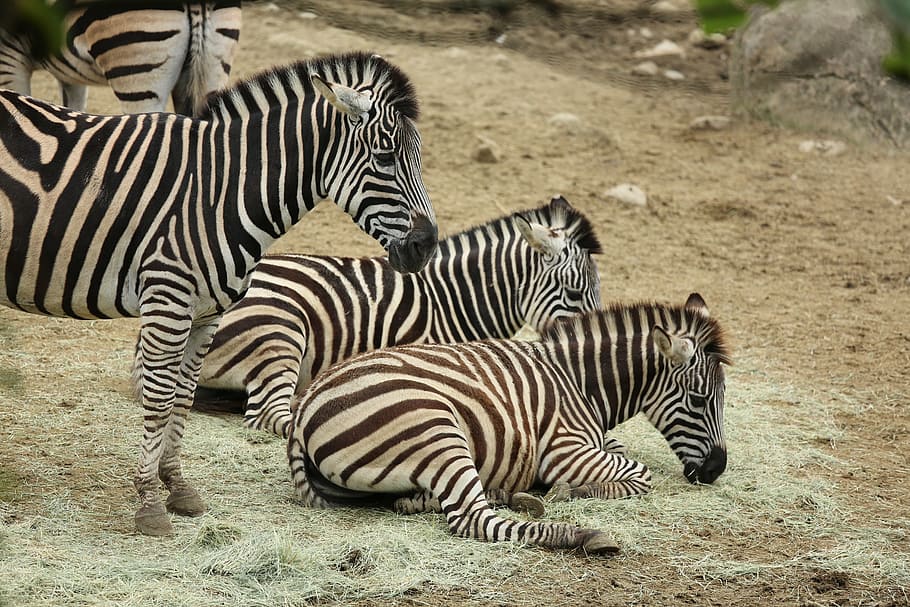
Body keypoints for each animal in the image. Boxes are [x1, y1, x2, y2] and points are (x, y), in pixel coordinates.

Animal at [0, 51, 439, 536]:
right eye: (384, 158)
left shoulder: (206, 314)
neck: (219, 191)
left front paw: (177, 487)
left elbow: (184, 396)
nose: (426, 246)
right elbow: (158, 398)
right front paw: (149, 503)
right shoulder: (168, 299)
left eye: (417, 157)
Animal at [287, 294, 730, 553]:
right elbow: (640, 474)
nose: (716, 470)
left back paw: (491, 494)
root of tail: (304, 406)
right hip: (436, 427)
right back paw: (580, 534)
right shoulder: (565, 450)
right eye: (699, 399)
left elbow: (623, 454)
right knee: (473, 519)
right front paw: (569, 491)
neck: (580, 382)